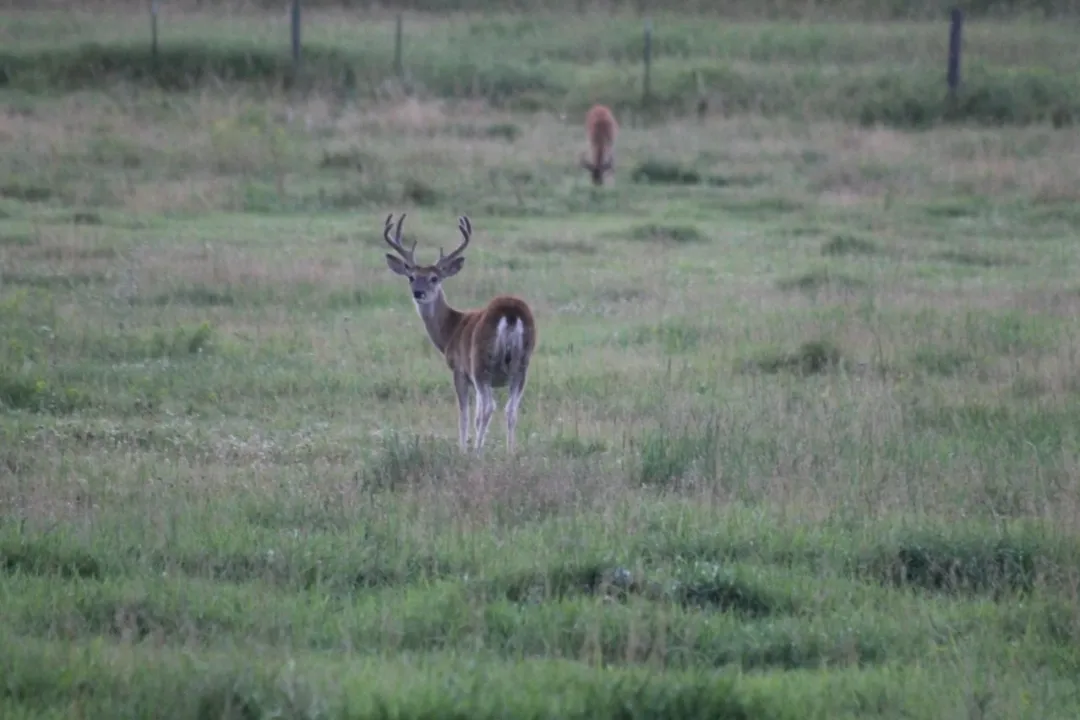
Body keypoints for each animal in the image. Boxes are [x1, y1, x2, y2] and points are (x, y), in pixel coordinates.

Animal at [382, 213, 537, 454]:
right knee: (511, 409)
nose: (419, 292)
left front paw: (462, 448)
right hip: (521, 366)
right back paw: (510, 451)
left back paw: (477, 452)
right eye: (411, 277)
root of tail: (511, 313)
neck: (450, 330)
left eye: (435, 278)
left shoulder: (459, 370)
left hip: (481, 363)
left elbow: (463, 414)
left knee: (487, 408)